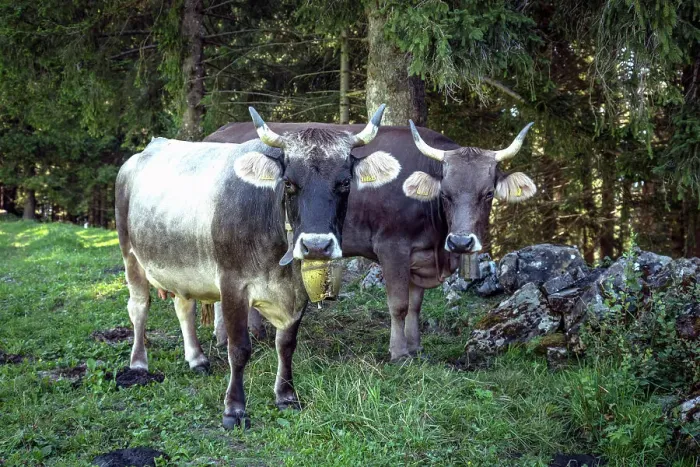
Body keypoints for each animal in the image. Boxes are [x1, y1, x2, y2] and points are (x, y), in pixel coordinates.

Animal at [115, 105, 398, 428]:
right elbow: (239, 348)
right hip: (130, 254)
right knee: (139, 306)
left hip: (181, 265)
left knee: (183, 306)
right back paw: (138, 364)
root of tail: (146, 150)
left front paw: (286, 396)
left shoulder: (296, 292)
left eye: (345, 182)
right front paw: (234, 409)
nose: (316, 246)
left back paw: (196, 358)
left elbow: (286, 344)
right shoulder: (232, 285)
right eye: (288, 183)